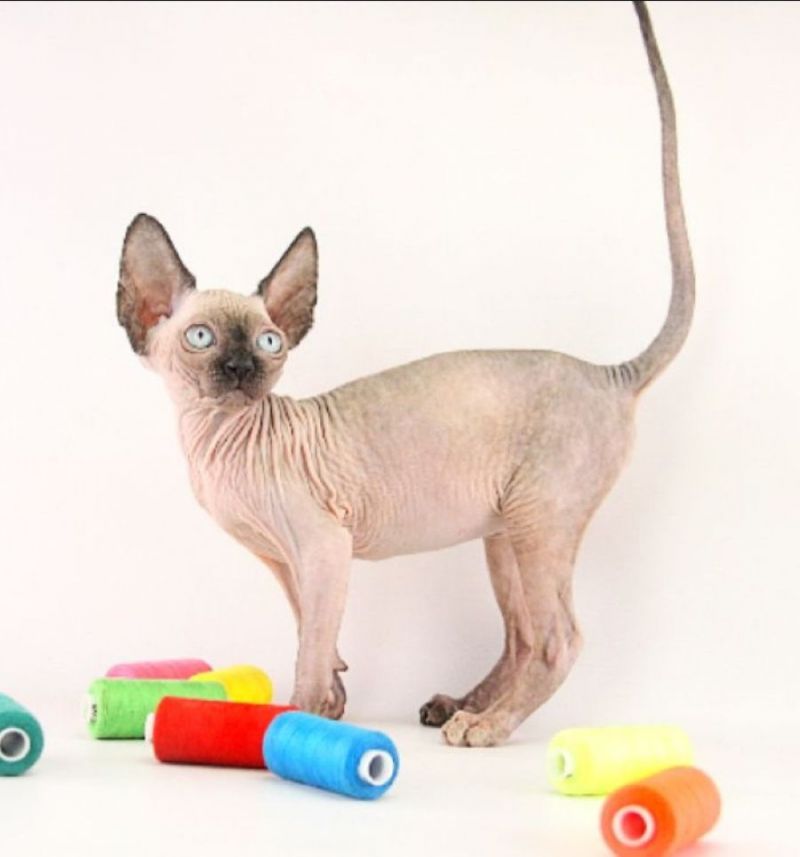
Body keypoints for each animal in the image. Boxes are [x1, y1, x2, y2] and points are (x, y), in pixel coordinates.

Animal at [116, 0, 693, 747]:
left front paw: (298, 718)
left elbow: (311, 640)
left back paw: (488, 725)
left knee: (558, 637)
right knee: (521, 635)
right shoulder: (285, 560)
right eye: (202, 338)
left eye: (270, 342)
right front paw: (331, 699)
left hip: (541, 518)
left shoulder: (322, 546)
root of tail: (608, 373)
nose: (242, 368)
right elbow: (313, 629)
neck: (218, 442)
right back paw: (461, 704)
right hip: (504, 531)